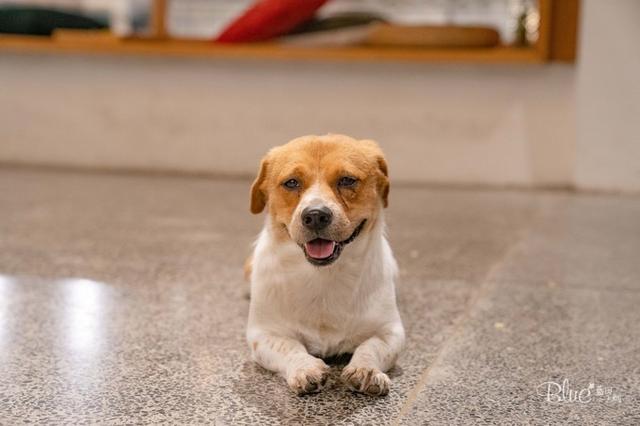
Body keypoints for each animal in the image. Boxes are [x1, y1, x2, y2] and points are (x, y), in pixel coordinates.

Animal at [246, 133, 404, 396]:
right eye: (291, 183)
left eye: (347, 180)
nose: (316, 215)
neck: (323, 276)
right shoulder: (264, 335)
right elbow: (290, 348)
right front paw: (306, 368)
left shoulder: (391, 332)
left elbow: (370, 347)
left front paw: (365, 369)